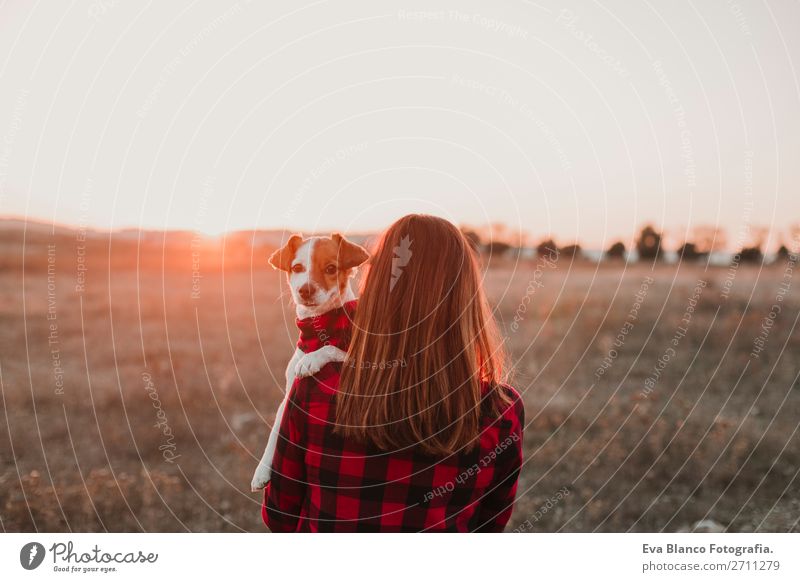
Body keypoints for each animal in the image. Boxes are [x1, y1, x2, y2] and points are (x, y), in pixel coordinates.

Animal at [250, 233, 368, 492]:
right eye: (297, 268)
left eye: (331, 268)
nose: (305, 289)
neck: (318, 328)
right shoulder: (288, 395)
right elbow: (275, 431)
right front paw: (262, 469)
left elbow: (331, 348)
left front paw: (311, 360)